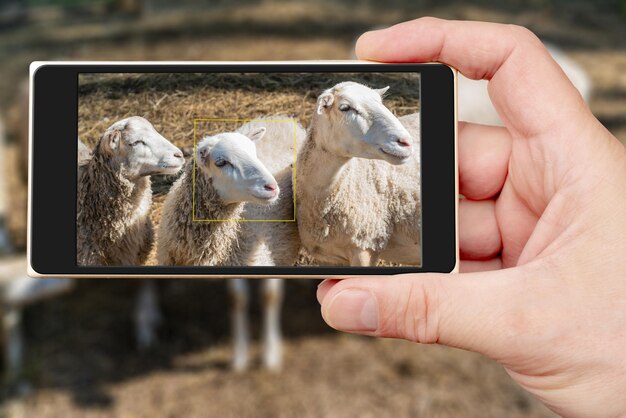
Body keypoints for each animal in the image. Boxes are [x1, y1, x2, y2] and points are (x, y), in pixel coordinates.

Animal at [155, 119, 304, 370]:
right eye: (221, 162)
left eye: (255, 153)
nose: (272, 187)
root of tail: (283, 117)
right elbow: (236, 300)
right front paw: (240, 356)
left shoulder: (260, 256)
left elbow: (269, 297)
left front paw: (270, 354)